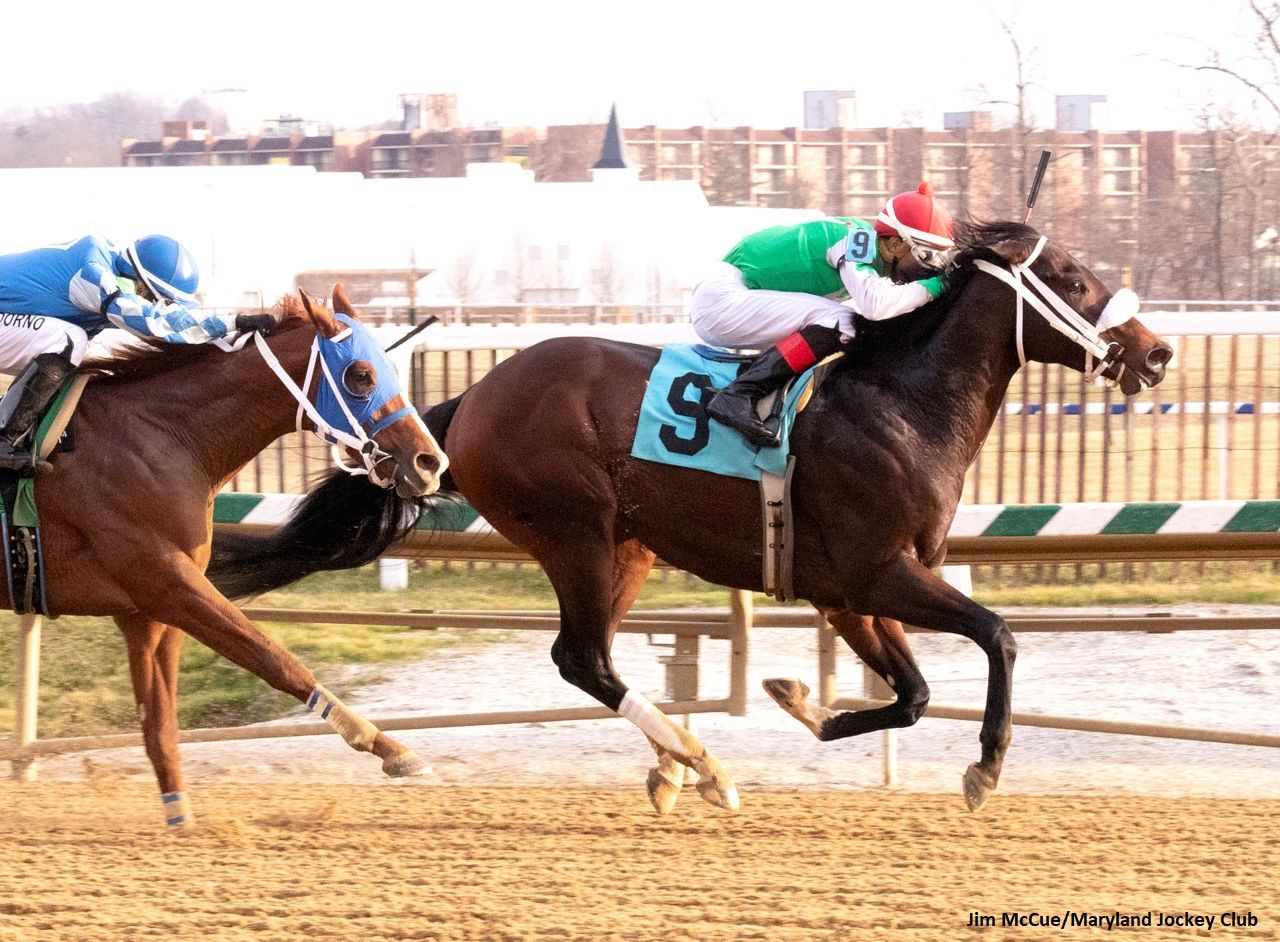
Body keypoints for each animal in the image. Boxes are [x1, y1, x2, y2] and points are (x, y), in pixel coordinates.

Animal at [5, 286, 447, 827]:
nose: (430, 462)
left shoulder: (148, 608)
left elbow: (159, 720)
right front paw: (388, 747)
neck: (160, 438)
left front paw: (179, 816)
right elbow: (273, 658)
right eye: (360, 374)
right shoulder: (168, 583)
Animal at [208, 221, 1173, 814]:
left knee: (590, 660)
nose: (1157, 352)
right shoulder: (880, 573)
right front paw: (984, 767)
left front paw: (799, 700)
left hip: (628, 547)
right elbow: (996, 637)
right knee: (583, 659)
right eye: (1075, 278)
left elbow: (912, 695)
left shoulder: (851, 594)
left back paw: (678, 763)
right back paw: (700, 766)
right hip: (577, 532)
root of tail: (474, 396)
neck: (900, 405)